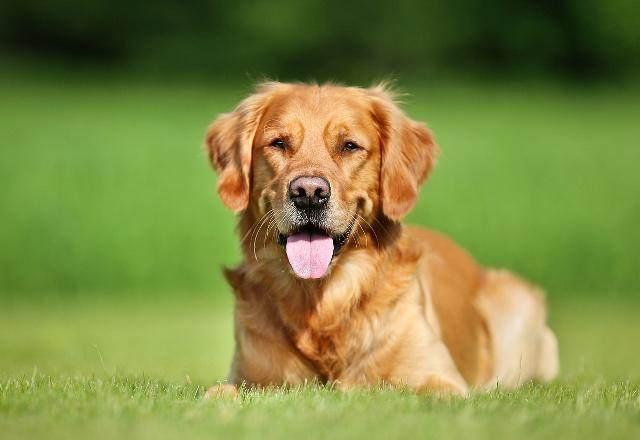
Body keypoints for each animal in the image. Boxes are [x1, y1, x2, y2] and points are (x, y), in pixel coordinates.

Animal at [204, 82, 556, 398]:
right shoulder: (249, 377)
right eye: (278, 143)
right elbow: (220, 393)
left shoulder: (440, 377)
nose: (309, 193)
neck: (323, 302)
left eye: (349, 146)